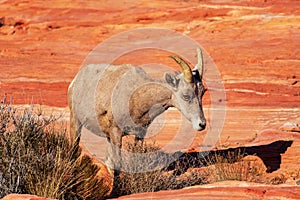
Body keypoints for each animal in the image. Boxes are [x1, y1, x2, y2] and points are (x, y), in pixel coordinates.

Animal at [68, 47, 206, 179]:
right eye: (186, 96)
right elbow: (118, 165)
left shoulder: (140, 133)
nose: (202, 124)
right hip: (76, 123)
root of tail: (75, 82)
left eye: (202, 92)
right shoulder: (116, 132)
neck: (136, 95)